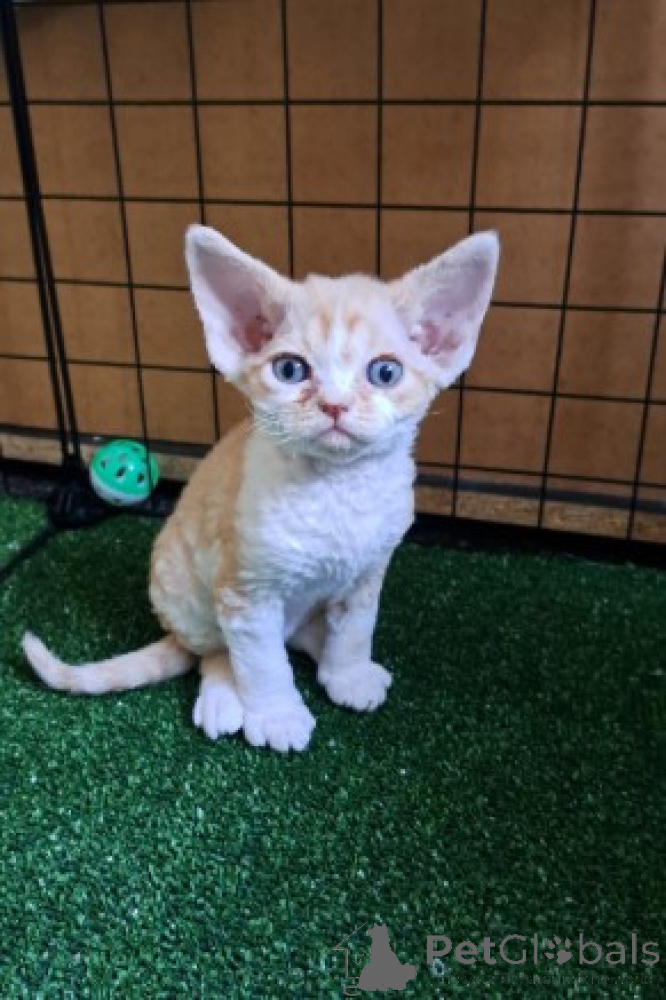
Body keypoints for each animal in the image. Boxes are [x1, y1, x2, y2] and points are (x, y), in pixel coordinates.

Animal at [22, 225, 499, 752]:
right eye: (290, 370)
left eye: (385, 373)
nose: (334, 404)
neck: (335, 487)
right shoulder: (245, 592)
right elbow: (261, 662)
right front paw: (276, 716)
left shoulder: (368, 571)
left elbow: (356, 626)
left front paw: (348, 674)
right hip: (184, 589)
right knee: (217, 652)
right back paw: (222, 698)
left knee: (297, 633)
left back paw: (321, 650)